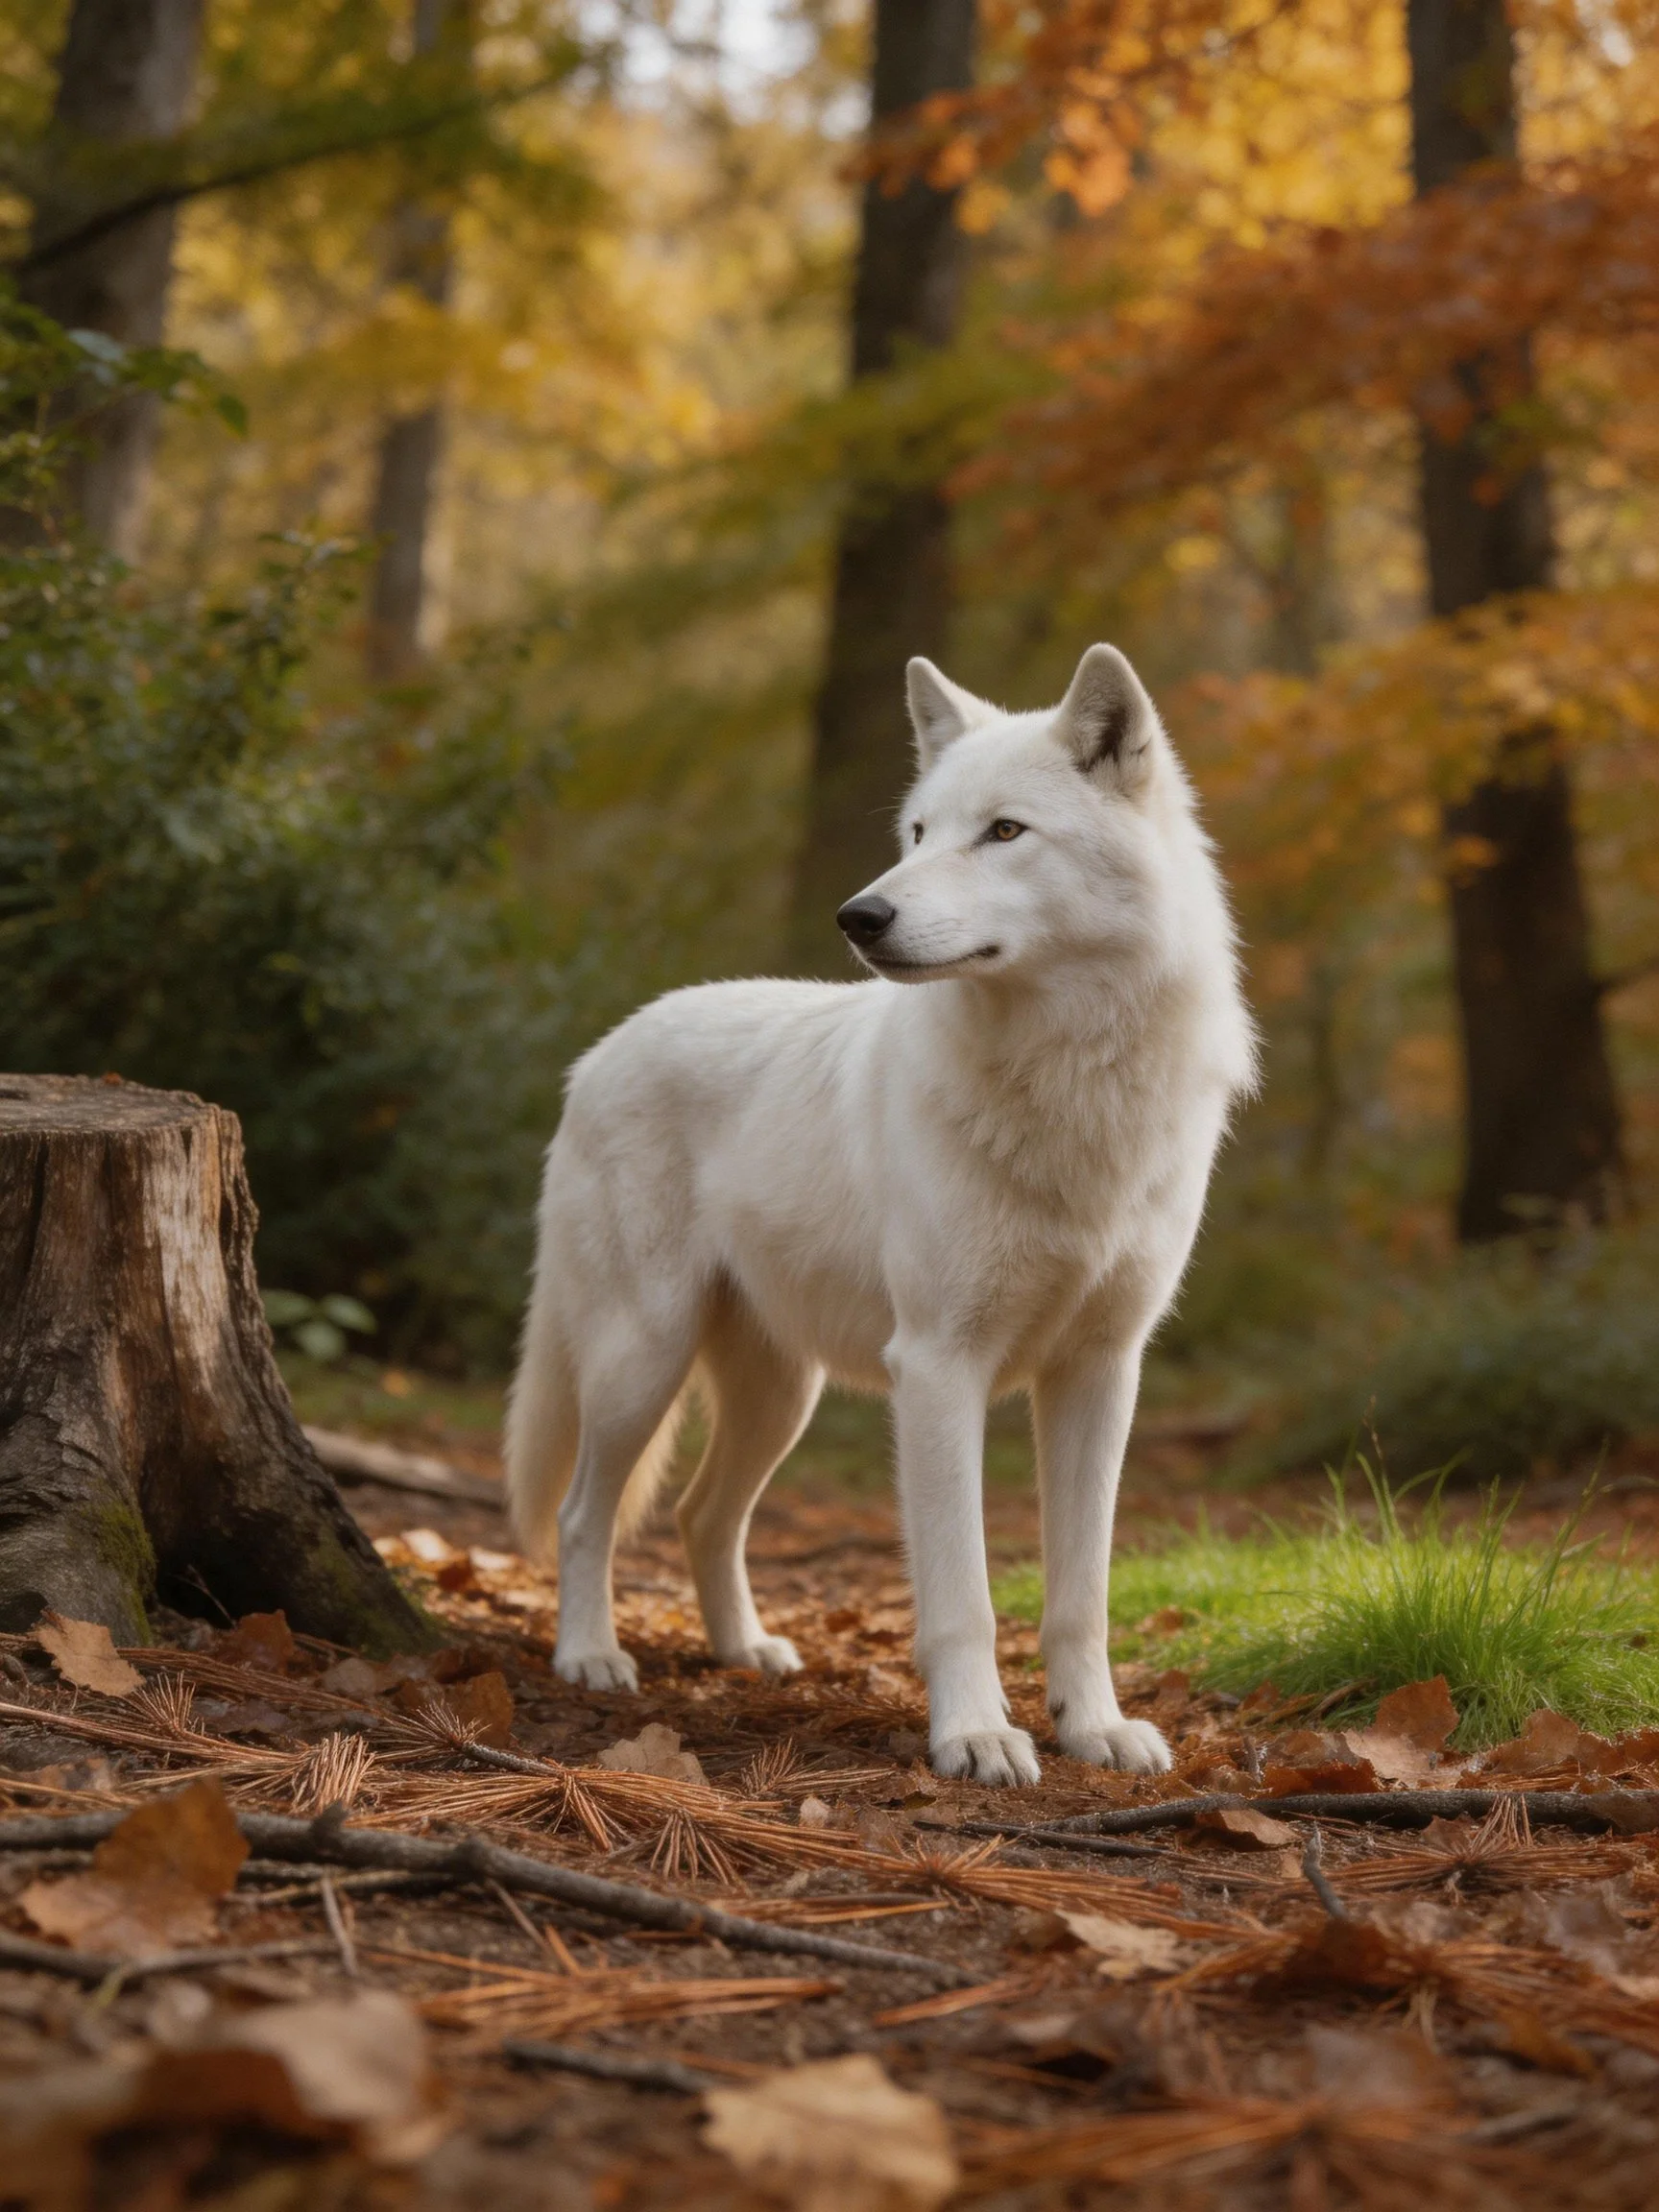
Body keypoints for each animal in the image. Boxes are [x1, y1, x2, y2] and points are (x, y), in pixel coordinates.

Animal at [506, 644, 1256, 1784]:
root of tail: (599, 1052)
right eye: (916, 833)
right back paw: (590, 1657)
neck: (1067, 1085)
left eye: (1004, 831)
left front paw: (1094, 1729)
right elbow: (963, 1597)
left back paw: (746, 1651)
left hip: (782, 1396)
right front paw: (978, 1737)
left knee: (700, 1513)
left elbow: (1081, 1593)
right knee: (586, 1512)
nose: (859, 917)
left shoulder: (1101, 1373)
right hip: (645, 1362)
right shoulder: (940, 1369)